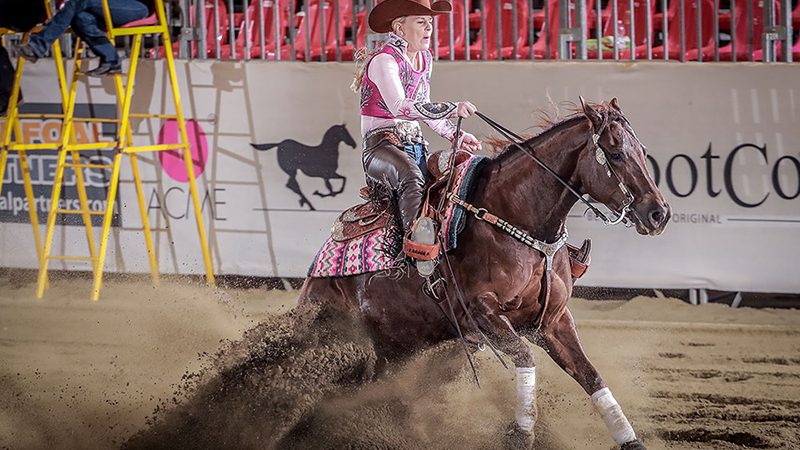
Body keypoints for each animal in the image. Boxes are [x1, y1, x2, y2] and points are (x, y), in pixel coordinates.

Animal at [296, 99, 672, 450]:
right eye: (616, 153)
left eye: (643, 152)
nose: (659, 214)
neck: (515, 218)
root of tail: (317, 271)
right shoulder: (481, 313)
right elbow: (525, 358)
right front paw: (520, 433)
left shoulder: (554, 321)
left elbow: (592, 377)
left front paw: (630, 439)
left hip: (395, 348)